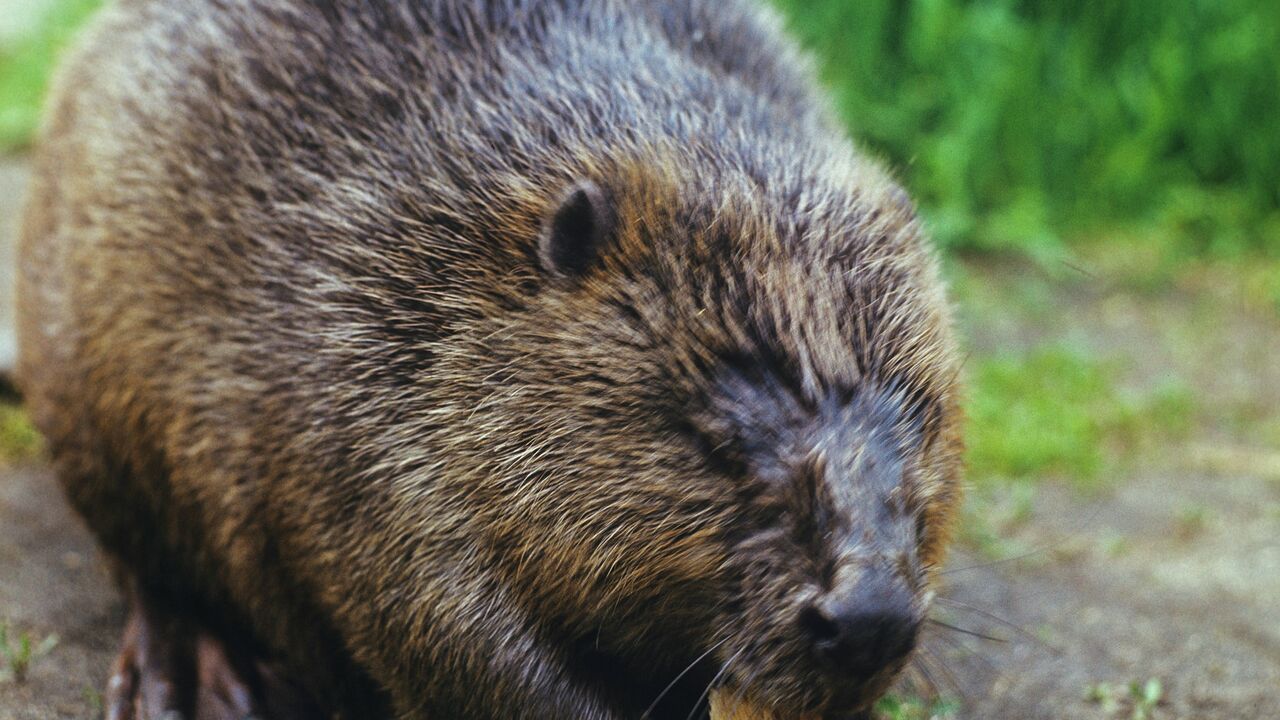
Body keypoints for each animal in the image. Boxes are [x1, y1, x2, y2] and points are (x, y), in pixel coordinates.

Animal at [17, 1, 962, 717]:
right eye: (710, 437)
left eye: (921, 418)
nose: (868, 617)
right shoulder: (365, 381)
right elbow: (447, 630)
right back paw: (191, 678)